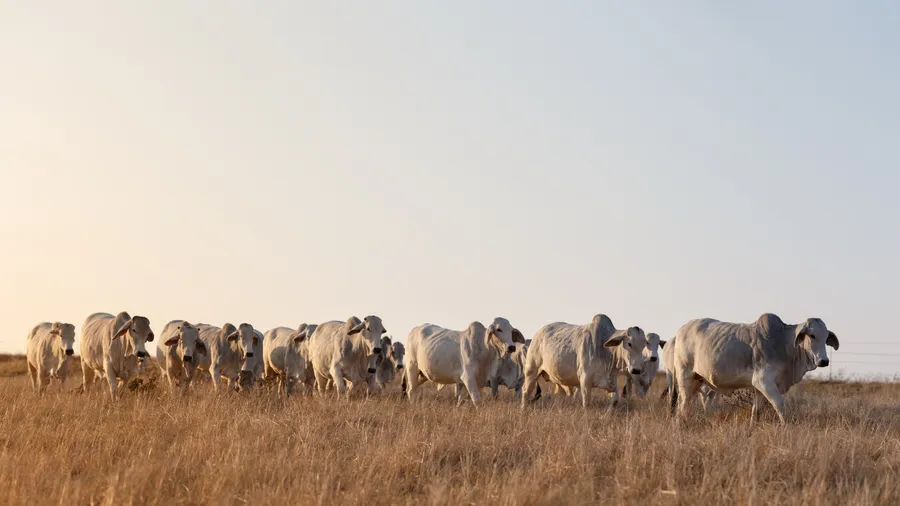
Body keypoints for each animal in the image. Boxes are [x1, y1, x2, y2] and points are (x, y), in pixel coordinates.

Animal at [671, 313, 839, 424]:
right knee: (683, 403)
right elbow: (780, 405)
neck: (784, 344)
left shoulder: (760, 387)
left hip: (699, 380)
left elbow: (756, 411)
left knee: (695, 403)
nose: (824, 361)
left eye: (826, 337)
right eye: (812, 335)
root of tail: (681, 330)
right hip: (685, 376)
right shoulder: (763, 380)